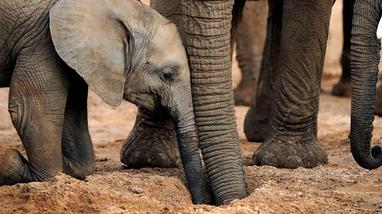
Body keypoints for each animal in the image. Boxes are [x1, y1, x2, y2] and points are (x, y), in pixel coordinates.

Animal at [0, 0, 206, 204]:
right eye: (167, 75)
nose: (200, 201)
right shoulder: (42, 42)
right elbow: (31, 111)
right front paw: (9, 161)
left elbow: (72, 115)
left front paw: (66, 167)